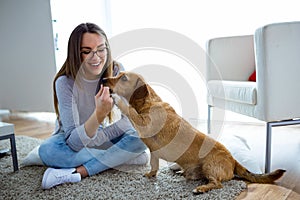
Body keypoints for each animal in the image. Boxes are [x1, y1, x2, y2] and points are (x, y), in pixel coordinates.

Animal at [103, 70, 286, 194]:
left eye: (124, 78)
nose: (104, 80)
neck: (148, 103)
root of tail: (233, 160)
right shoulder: (154, 152)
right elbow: (154, 166)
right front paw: (150, 174)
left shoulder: (144, 124)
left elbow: (129, 110)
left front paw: (117, 99)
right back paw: (181, 172)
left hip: (210, 166)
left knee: (218, 184)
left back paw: (201, 188)